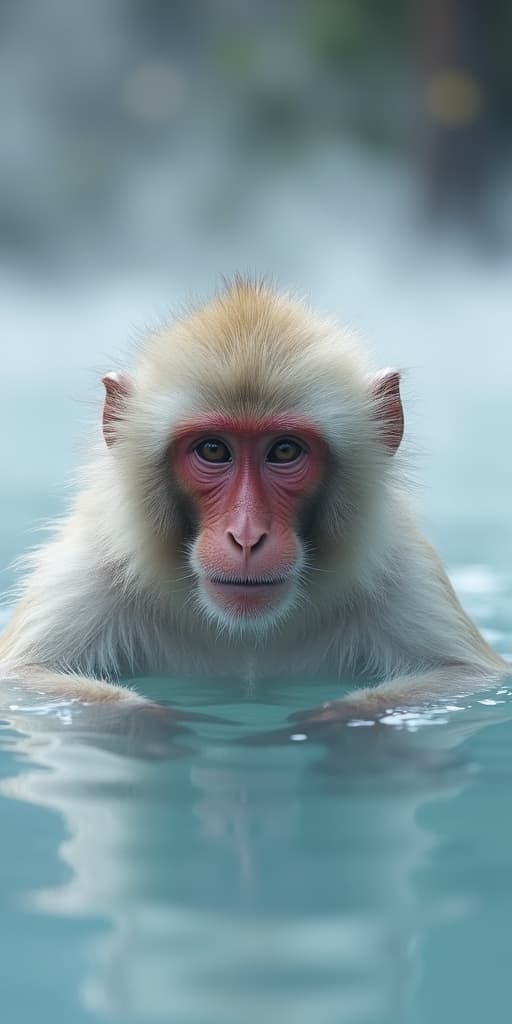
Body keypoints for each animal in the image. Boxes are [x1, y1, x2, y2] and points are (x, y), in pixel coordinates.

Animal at [0, 280, 505, 729]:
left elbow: (464, 677)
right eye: (213, 450)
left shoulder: (400, 570)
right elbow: (23, 678)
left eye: (283, 451)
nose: (246, 536)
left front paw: (340, 719)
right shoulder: (90, 568)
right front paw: (150, 719)